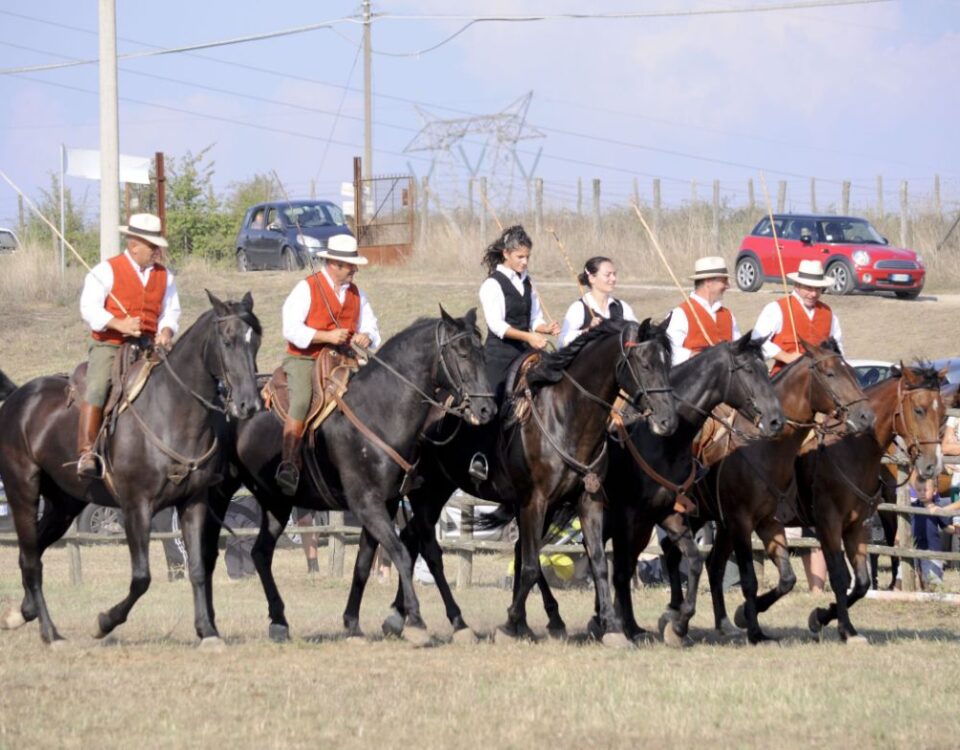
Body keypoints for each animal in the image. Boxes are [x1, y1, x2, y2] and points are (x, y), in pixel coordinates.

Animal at [0, 292, 260, 648]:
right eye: (227, 339)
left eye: (255, 340)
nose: (250, 404)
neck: (171, 411)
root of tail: (17, 398)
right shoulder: (136, 507)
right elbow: (141, 577)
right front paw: (104, 622)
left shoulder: (194, 502)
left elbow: (196, 568)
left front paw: (207, 632)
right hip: (22, 492)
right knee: (30, 559)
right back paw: (50, 633)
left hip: (64, 504)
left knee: (33, 552)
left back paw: (22, 613)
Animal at [215, 308, 498, 644]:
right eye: (461, 352)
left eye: (483, 352)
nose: (487, 409)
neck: (378, 411)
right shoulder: (367, 504)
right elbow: (401, 553)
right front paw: (415, 621)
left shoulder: (386, 504)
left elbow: (365, 561)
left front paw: (352, 623)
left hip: (276, 503)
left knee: (260, 553)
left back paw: (279, 622)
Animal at [344, 320, 676, 648]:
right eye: (645, 364)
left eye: (667, 363)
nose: (667, 421)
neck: (565, 415)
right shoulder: (535, 502)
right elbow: (529, 564)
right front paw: (512, 623)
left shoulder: (586, 500)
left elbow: (595, 561)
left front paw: (610, 627)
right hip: (427, 492)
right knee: (422, 543)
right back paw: (432, 621)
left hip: (439, 490)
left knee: (410, 538)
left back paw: (400, 617)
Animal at [688, 340, 876, 648]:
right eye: (830, 374)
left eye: (852, 371)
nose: (866, 417)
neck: (763, 446)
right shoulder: (743, 521)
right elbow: (750, 579)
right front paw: (754, 631)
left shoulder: (767, 522)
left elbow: (787, 578)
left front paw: (746, 617)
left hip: (721, 525)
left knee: (713, 566)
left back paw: (724, 624)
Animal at [796, 368, 944, 644]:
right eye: (918, 410)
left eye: (943, 412)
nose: (933, 466)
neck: (850, 449)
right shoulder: (828, 524)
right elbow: (840, 576)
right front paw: (844, 628)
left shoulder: (857, 526)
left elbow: (862, 582)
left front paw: (823, 616)